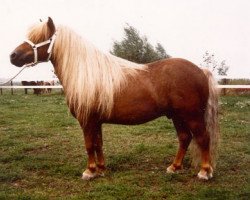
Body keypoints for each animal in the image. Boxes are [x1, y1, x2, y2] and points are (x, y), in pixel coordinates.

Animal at [10, 16, 219, 180]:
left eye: (40, 38)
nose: (13, 55)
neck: (87, 74)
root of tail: (200, 70)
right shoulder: (96, 121)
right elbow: (98, 144)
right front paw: (101, 169)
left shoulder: (87, 120)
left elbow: (89, 145)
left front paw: (89, 171)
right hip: (177, 116)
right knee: (184, 138)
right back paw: (174, 167)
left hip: (192, 116)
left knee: (203, 138)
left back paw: (205, 172)